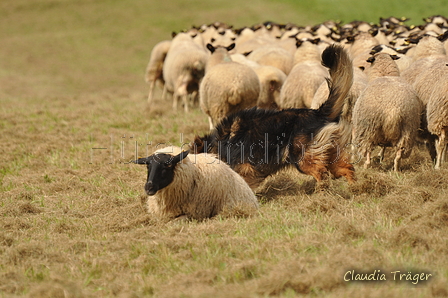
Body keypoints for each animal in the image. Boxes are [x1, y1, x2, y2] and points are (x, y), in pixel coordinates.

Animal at [191, 44, 356, 189]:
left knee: (321, 173)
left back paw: (323, 190)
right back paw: (354, 189)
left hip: (302, 157)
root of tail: (318, 112)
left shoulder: (244, 166)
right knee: (346, 168)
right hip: (330, 152)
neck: (219, 143)